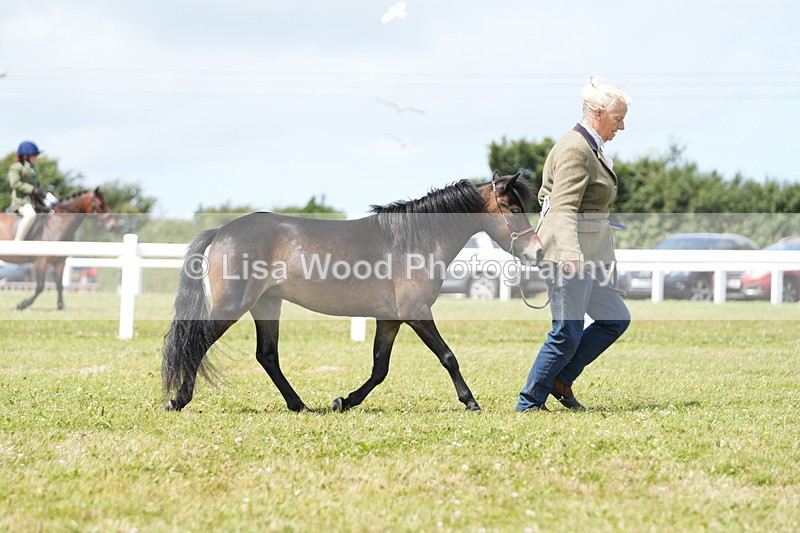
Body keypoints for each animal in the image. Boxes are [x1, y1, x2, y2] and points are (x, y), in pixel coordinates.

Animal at [162, 172, 544, 413]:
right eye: (513, 209)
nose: (538, 252)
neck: (413, 241)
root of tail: (222, 230)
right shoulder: (417, 312)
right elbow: (448, 356)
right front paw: (470, 401)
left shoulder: (390, 320)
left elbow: (379, 369)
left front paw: (344, 401)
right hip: (233, 305)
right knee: (197, 342)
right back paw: (178, 400)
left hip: (267, 304)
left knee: (267, 356)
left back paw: (300, 405)